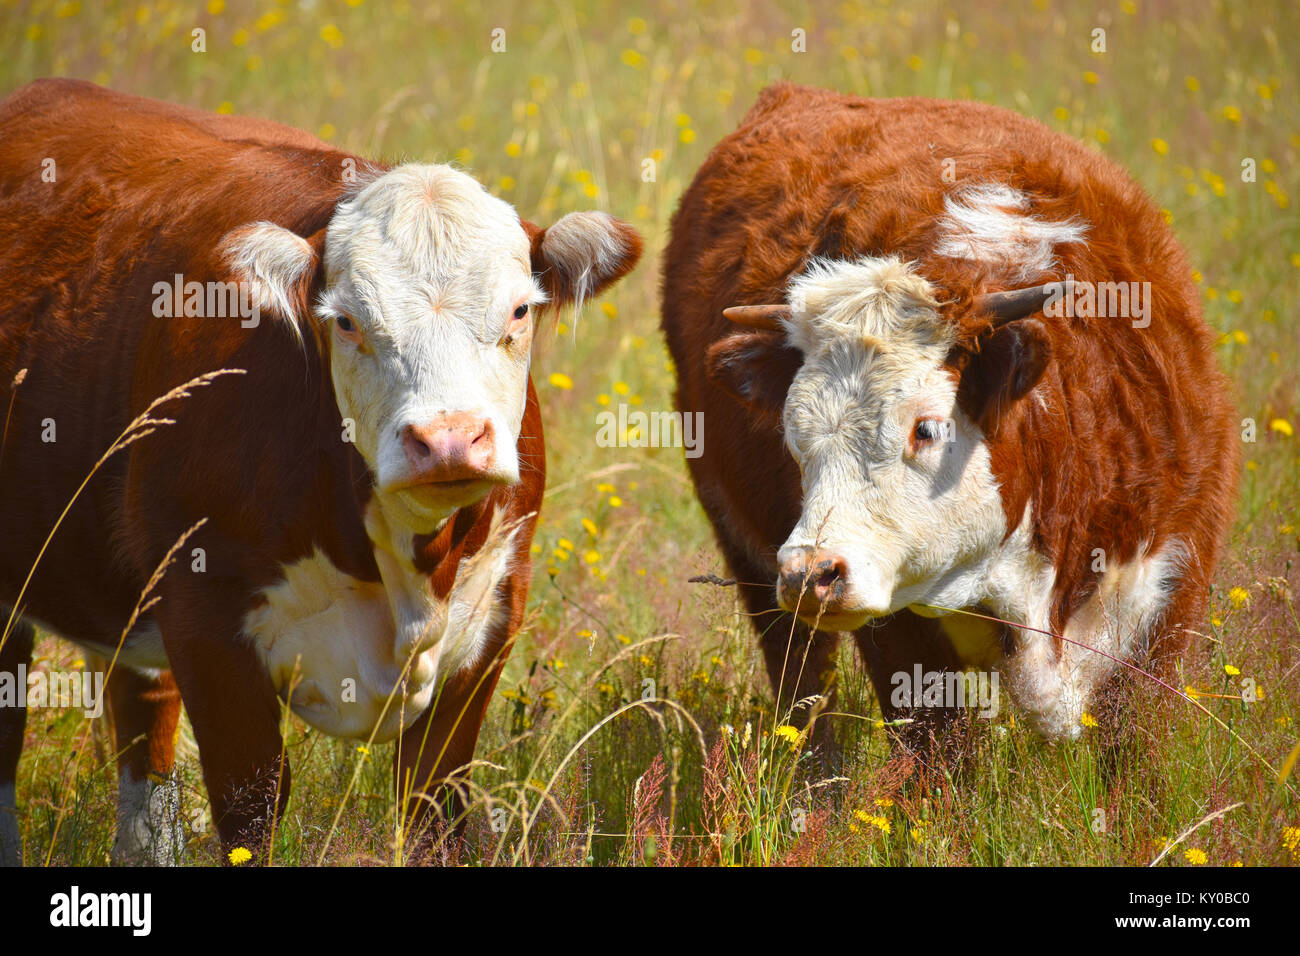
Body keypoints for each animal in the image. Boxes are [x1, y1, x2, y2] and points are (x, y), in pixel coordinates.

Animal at [0, 78, 639, 863]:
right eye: (347, 322)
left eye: (519, 310)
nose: (449, 441)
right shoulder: (206, 624)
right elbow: (252, 811)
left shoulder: (491, 621)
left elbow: (432, 810)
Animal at [665, 82, 1242, 754]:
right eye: (793, 436)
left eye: (927, 428)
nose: (811, 573)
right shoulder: (901, 641)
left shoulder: (1170, 595)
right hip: (756, 568)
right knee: (802, 686)